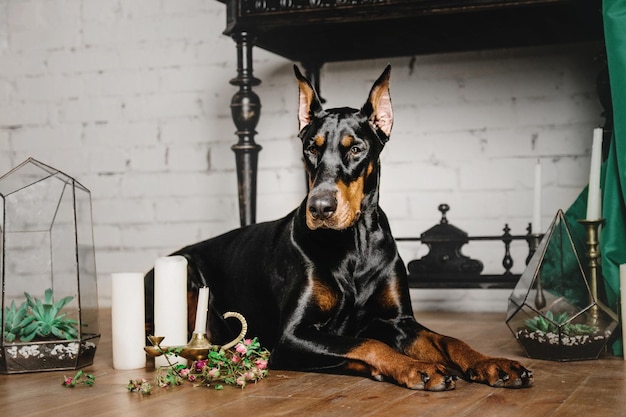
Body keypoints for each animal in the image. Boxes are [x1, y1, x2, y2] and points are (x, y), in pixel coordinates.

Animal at [145, 66, 532, 390]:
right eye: (309, 149)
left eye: (356, 149)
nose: (319, 208)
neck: (355, 245)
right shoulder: (291, 336)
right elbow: (368, 342)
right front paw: (415, 367)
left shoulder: (400, 322)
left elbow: (449, 339)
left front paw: (492, 363)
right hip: (189, 275)